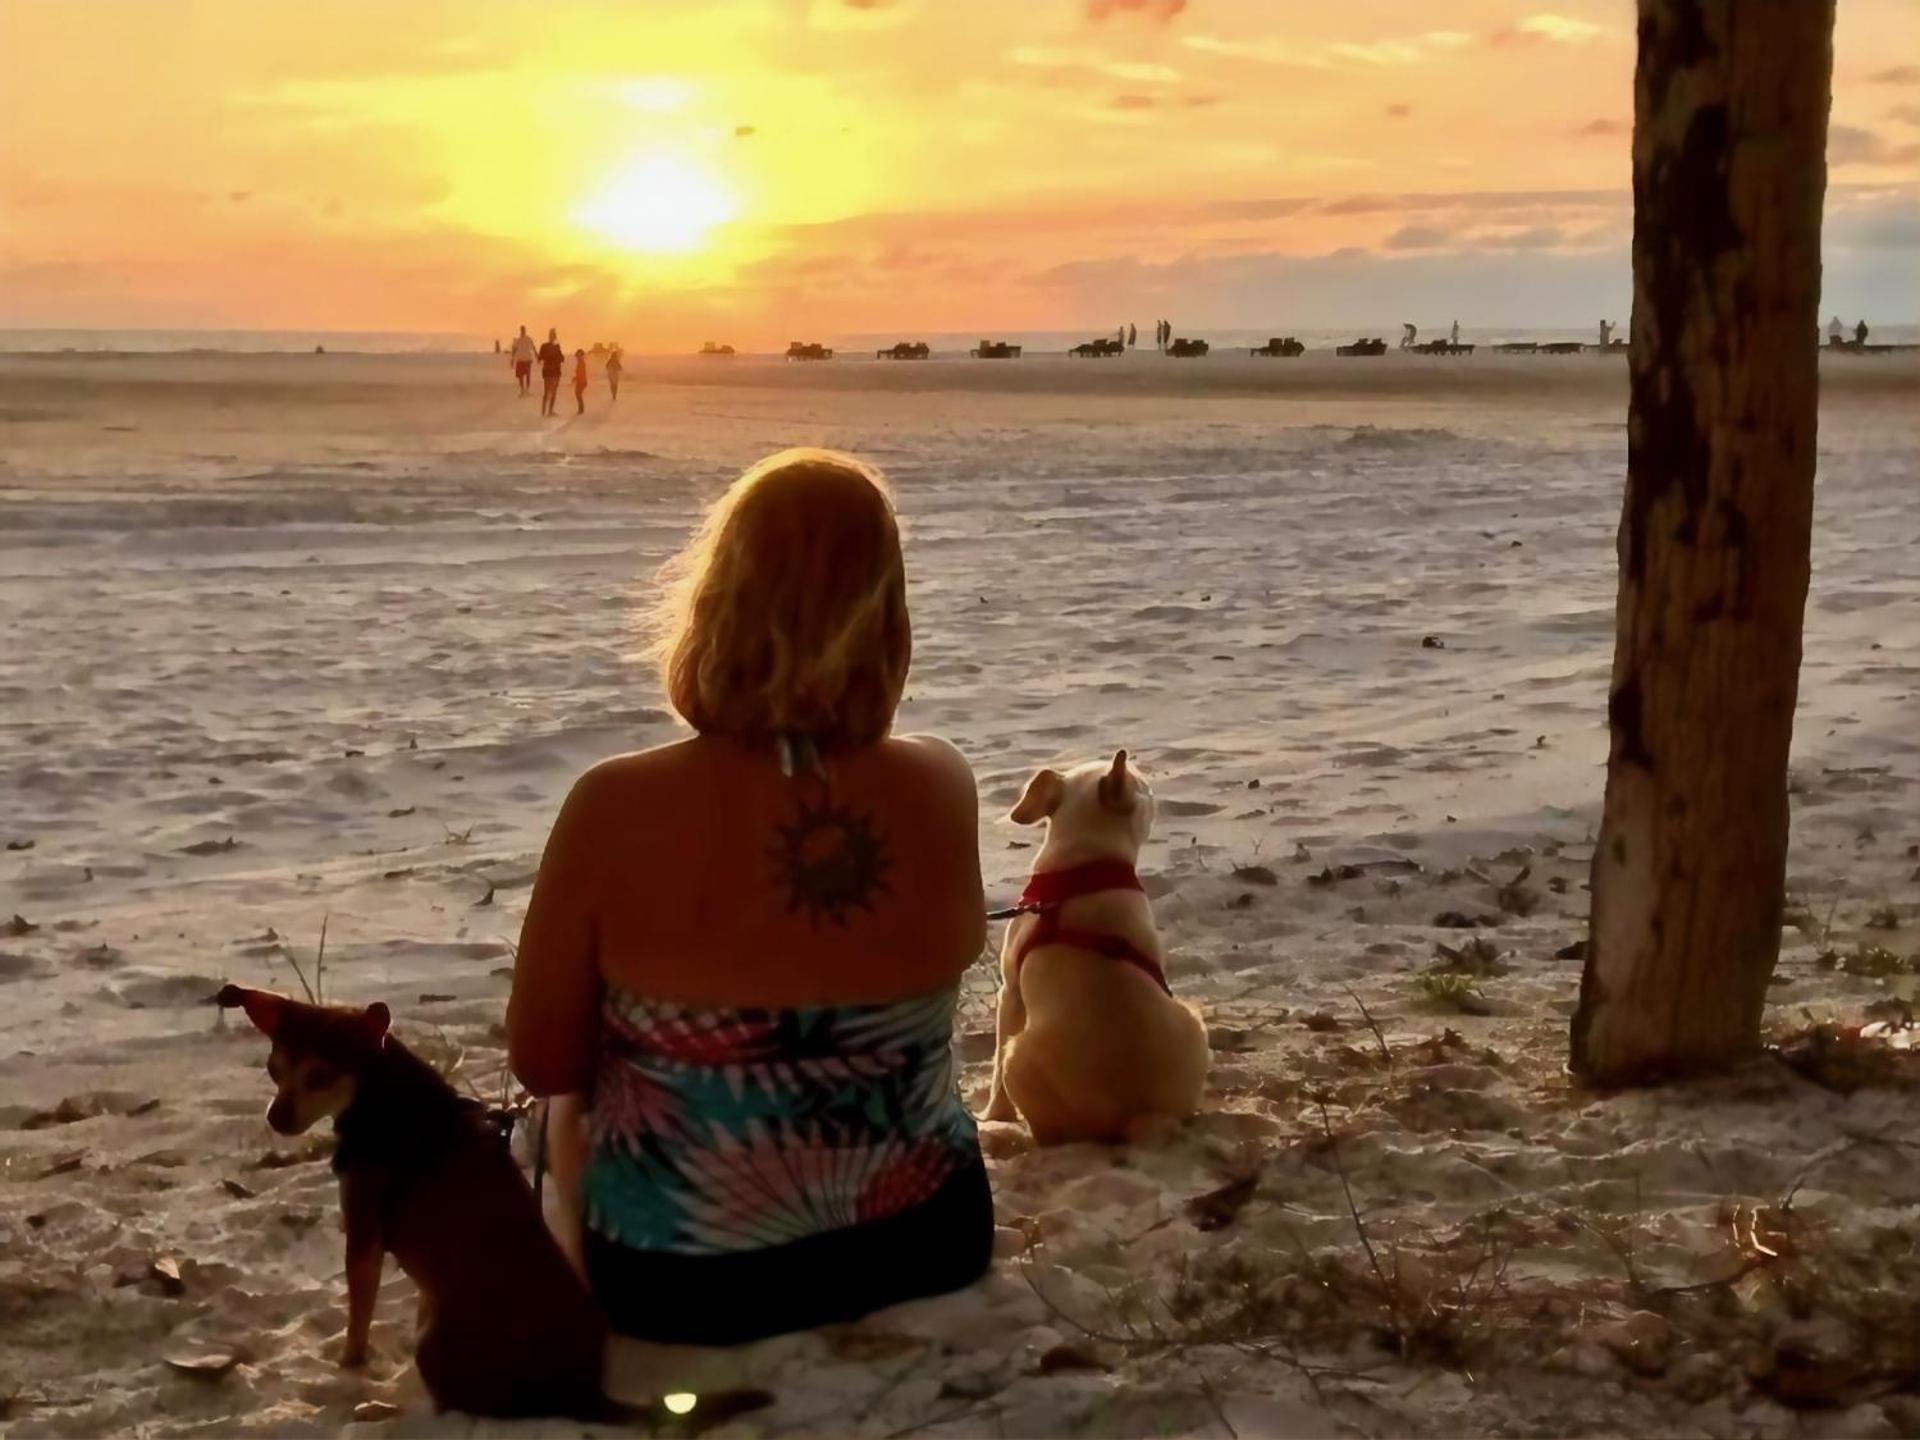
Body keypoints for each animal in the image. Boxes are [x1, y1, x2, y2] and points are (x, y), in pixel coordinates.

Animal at [216, 990, 606, 1420]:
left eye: (320, 1075)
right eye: (273, 1070)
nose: (275, 1117)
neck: (386, 1097)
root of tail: (582, 1395)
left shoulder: (364, 1238)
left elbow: (358, 1324)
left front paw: (349, 1365)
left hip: (433, 1349)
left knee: (446, 1410)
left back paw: (377, 1407)